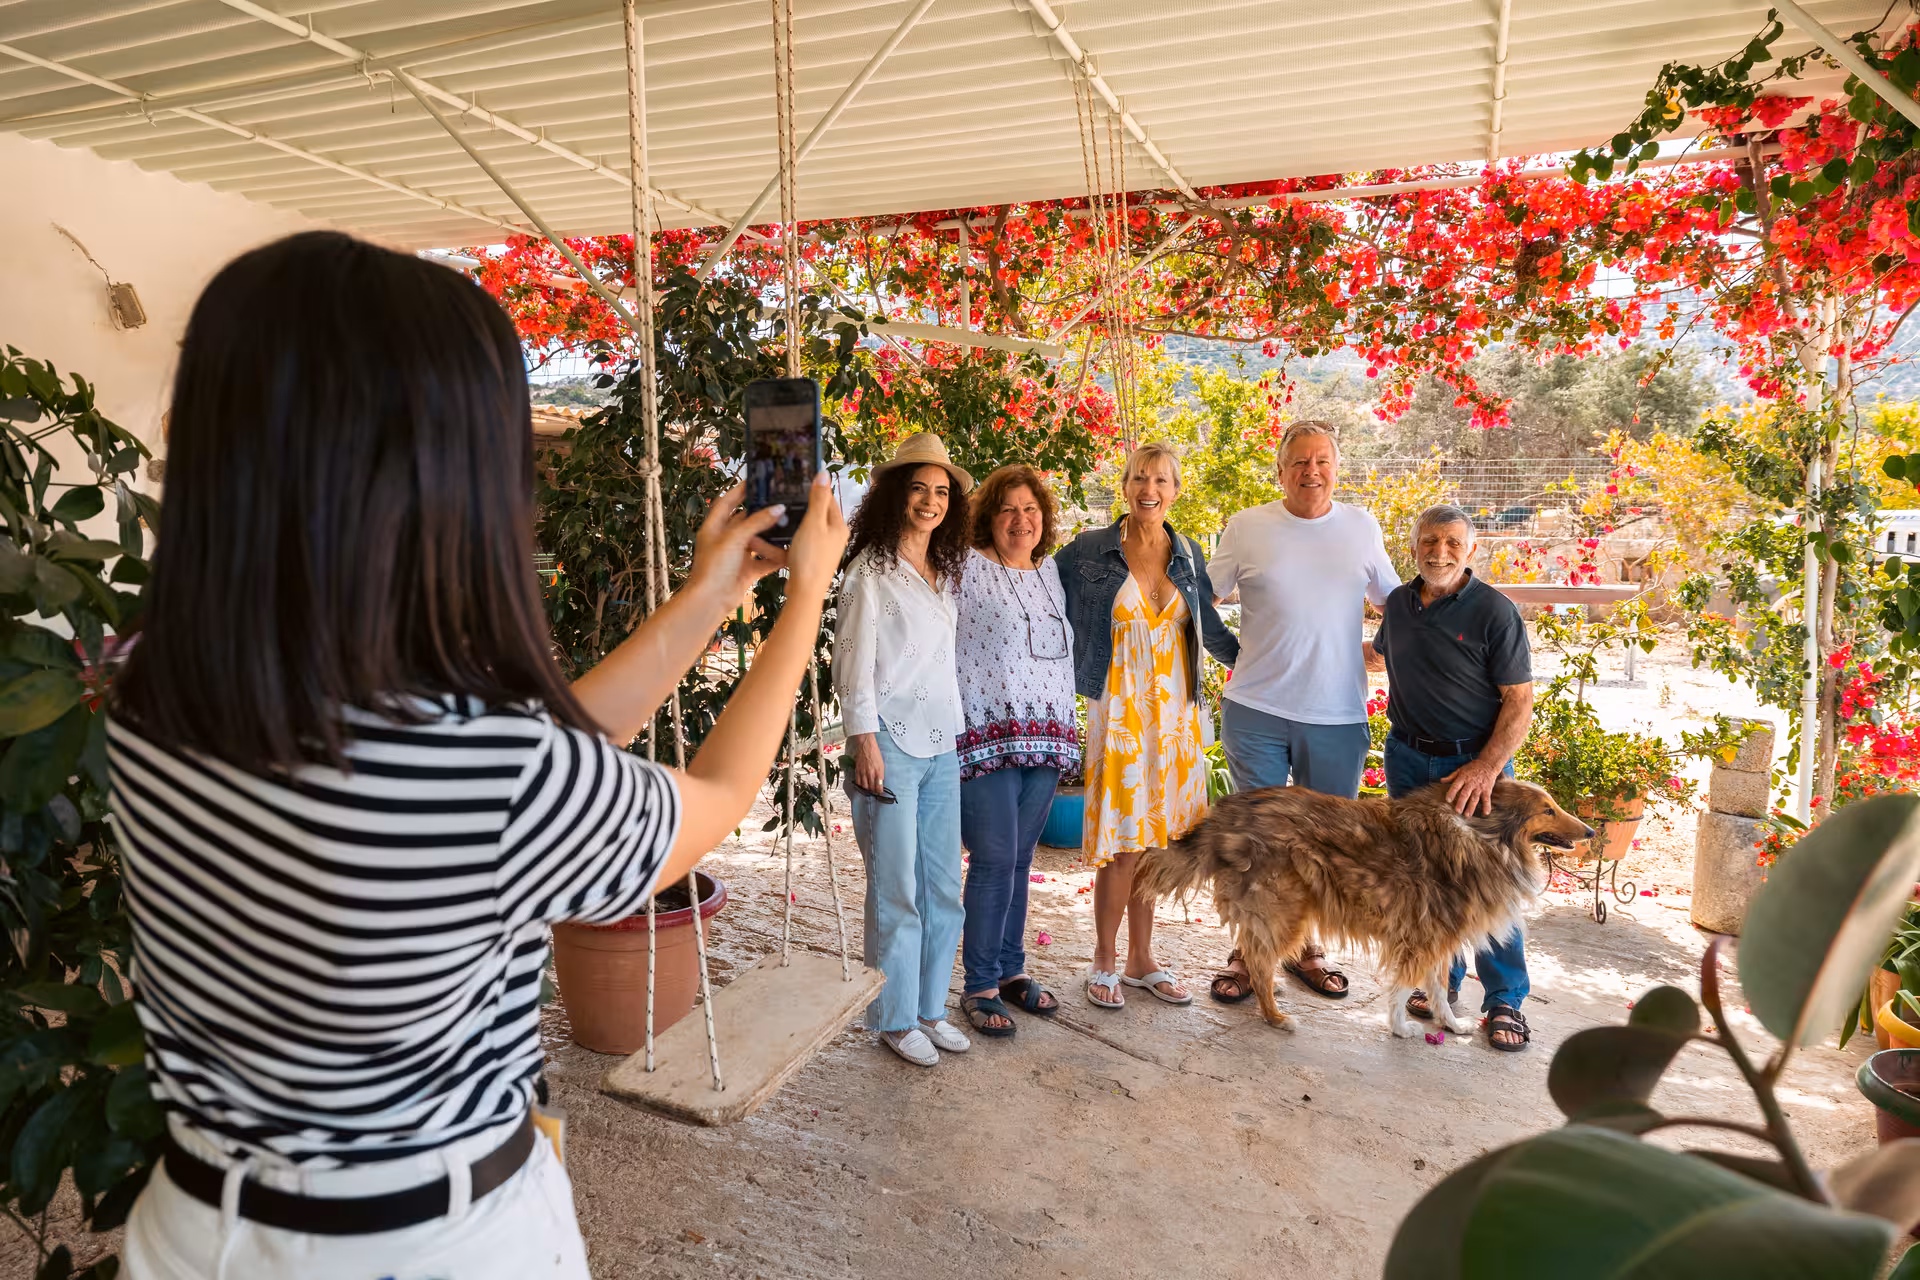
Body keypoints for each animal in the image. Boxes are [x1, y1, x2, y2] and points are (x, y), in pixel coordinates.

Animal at [1133, 777, 1593, 1038]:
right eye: (1547, 809)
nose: (1590, 831)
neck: (1483, 834)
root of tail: (1224, 814)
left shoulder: (1438, 937)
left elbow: (1439, 991)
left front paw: (1451, 1024)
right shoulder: (1423, 938)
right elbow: (1404, 986)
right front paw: (1401, 1028)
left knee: (1254, 949)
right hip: (1286, 912)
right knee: (1261, 960)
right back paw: (1276, 1017)